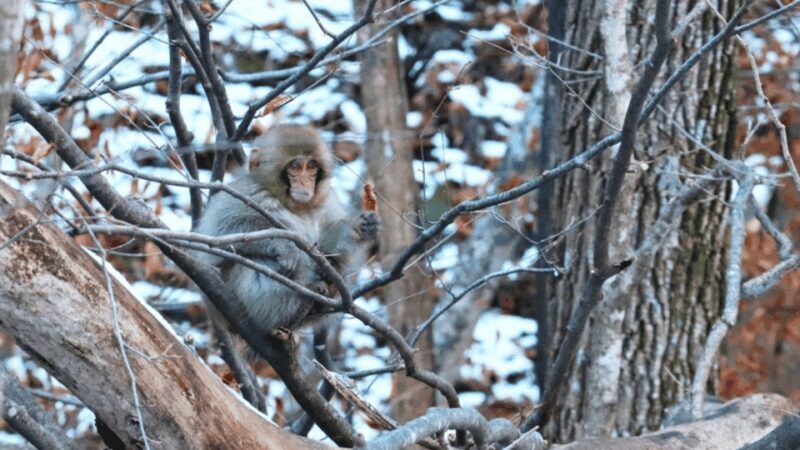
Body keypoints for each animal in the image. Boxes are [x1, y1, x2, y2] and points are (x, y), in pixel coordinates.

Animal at [193, 124, 380, 335]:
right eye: (295, 167)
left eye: (311, 166)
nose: (305, 182)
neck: (294, 205)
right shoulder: (244, 193)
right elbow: (220, 237)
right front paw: (284, 246)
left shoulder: (327, 200)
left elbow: (330, 241)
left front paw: (360, 228)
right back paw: (298, 303)